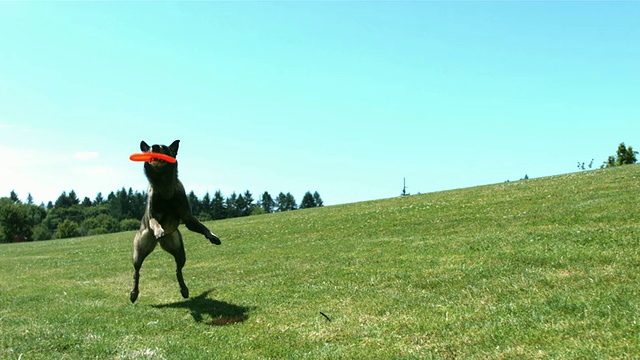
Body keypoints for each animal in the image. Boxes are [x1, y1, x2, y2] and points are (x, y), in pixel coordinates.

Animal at [129, 139, 221, 302]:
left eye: (163, 147)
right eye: (149, 149)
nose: (155, 147)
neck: (164, 185)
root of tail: (157, 243)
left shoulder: (189, 218)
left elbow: (202, 226)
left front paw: (212, 236)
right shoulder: (152, 216)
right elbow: (155, 222)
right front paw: (159, 230)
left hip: (179, 252)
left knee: (178, 270)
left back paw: (184, 289)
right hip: (139, 252)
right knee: (136, 271)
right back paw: (134, 293)